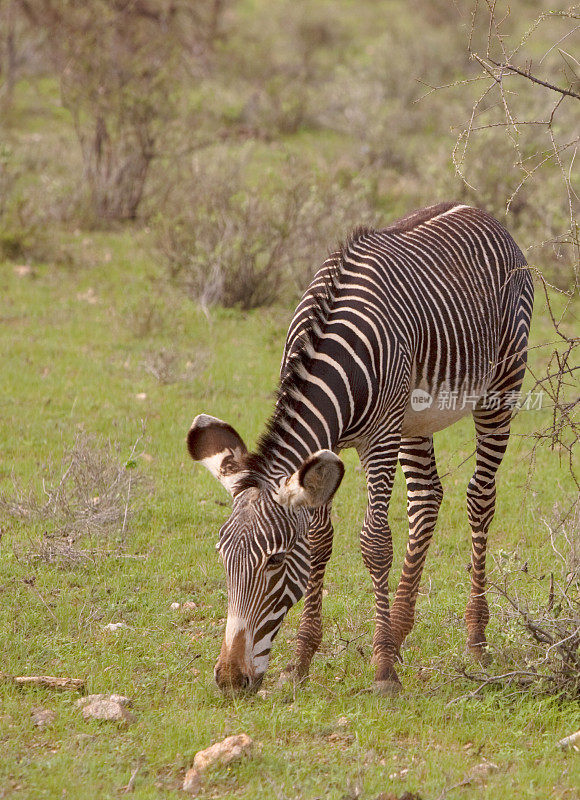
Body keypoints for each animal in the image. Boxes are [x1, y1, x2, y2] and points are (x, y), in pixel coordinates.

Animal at [188, 203, 532, 696]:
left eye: (274, 561)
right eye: (222, 556)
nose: (230, 681)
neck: (335, 362)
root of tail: (480, 212)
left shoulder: (380, 437)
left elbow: (375, 543)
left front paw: (383, 670)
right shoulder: (327, 447)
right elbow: (319, 540)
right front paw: (302, 660)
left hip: (499, 388)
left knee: (480, 498)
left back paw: (474, 640)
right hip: (414, 417)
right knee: (426, 498)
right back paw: (400, 629)